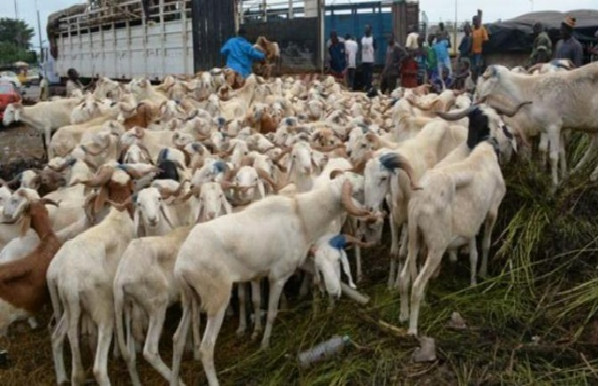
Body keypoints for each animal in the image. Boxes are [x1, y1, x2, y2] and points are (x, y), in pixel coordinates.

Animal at [169, 173, 376, 384]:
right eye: (356, 190)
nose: (370, 211)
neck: (302, 216)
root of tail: (181, 264)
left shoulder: (298, 262)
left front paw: (359, 299)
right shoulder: (279, 275)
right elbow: (271, 313)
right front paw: (264, 344)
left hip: (190, 298)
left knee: (177, 340)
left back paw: (174, 379)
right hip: (216, 298)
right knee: (206, 347)